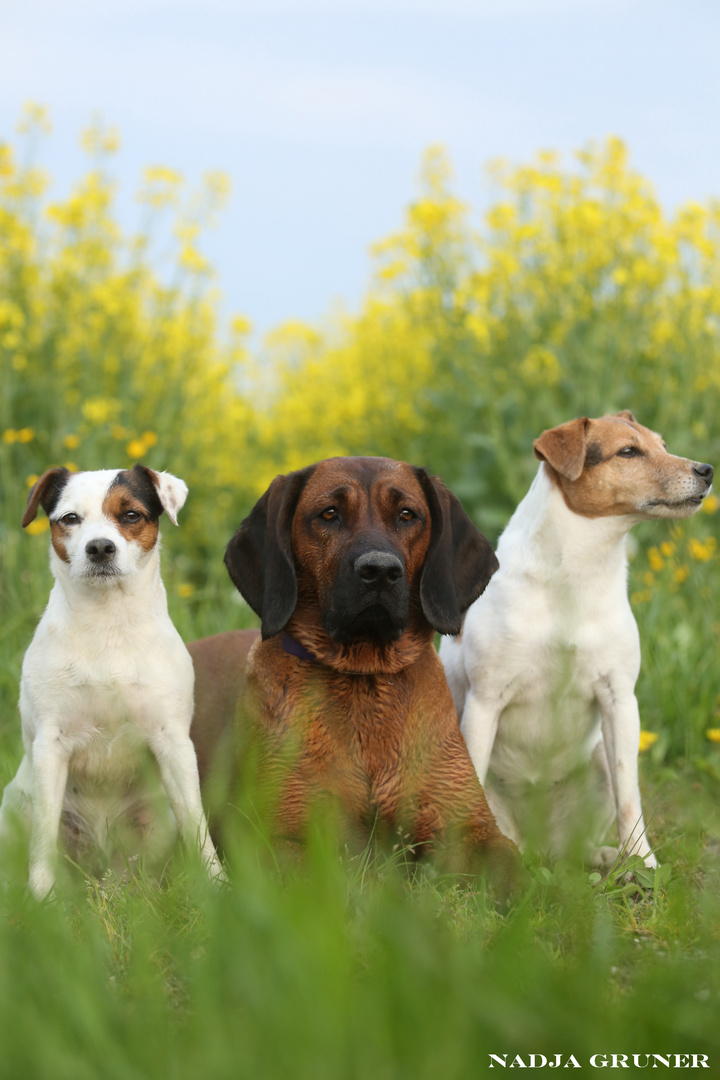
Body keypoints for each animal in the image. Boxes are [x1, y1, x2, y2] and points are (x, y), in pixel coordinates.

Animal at [0, 468, 223, 898]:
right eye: (70, 518)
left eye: (131, 515)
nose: (100, 548)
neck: (108, 624)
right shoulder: (51, 747)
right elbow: (43, 838)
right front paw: (42, 899)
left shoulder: (173, 743)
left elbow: (197, 823)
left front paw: (219, 886)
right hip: (13, 813)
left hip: (155, 824)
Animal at [191, 455, 518, 876]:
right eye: (329, 513)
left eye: (407, 515)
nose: (380, 571)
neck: (365, 678)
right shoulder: (275, 840)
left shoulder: (476, 830)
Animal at [440, 410, 716, 868]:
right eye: (628, 451)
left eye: (662, 444)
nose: (708, 470)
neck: (578, 575)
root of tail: (536, 845)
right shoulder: (485, 700)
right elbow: (472, 780)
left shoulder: (619, 699)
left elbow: (630, 796)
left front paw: (642, 864)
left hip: (597, 762)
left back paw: (603, 857)